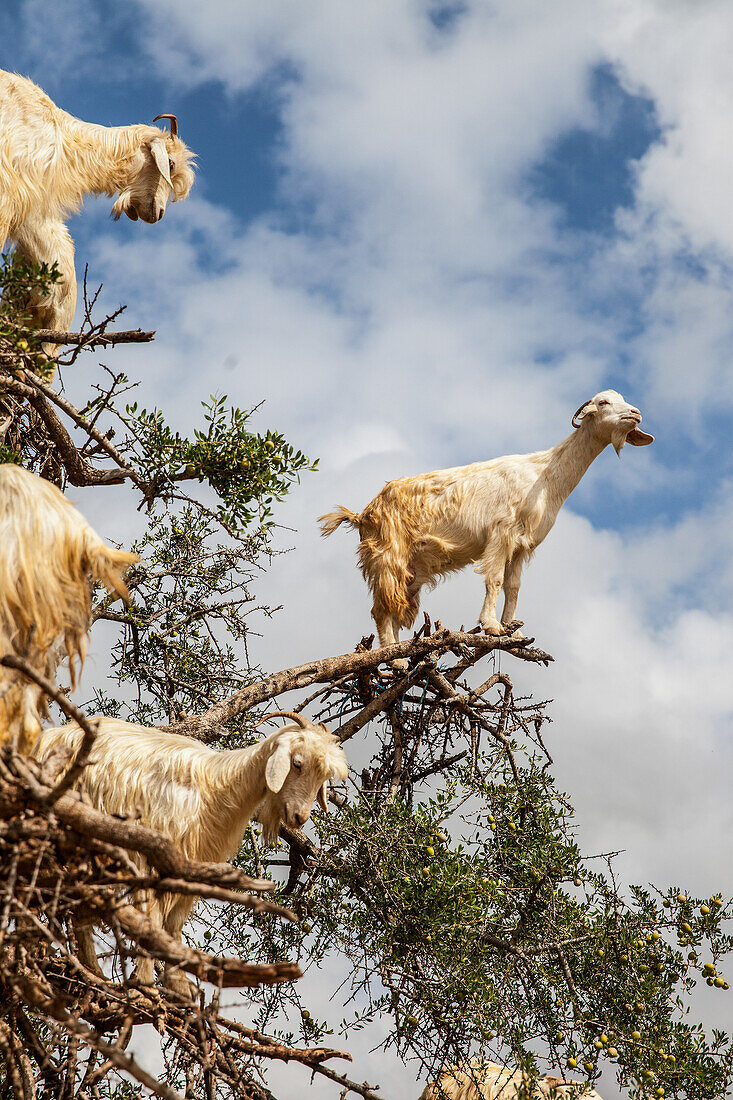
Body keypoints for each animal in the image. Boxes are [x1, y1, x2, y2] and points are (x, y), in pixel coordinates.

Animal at [35, 708, 349, 994]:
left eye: (322, 775)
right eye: (296, 764)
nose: (300, 817)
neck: (219, 787)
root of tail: (49, 738)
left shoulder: (193, 864)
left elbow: (173, 925)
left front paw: (179, 987)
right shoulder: (153, 856)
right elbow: (152, 919)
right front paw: (147, 985)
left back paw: (91, 972)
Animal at [319, 389, 651, 646]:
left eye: (623, 400)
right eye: (604, 402)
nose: (635, 413)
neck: (544, 476)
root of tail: (363, 514)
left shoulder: (522, 545)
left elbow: (513, 585)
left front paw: (513, 632)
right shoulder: (501, 534)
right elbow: (494, 580)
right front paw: (491, 626)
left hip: (410, 571)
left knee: (394, 608)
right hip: (388, 555)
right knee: (381, 609)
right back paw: (394, 659)